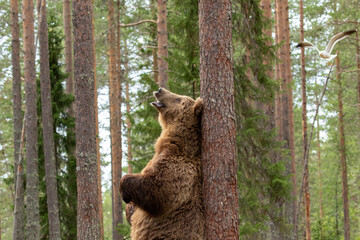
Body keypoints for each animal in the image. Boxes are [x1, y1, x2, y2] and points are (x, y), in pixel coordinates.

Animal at [120, 88, 204, 240]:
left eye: (178, 98)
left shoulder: (181, 172)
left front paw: (124, 190)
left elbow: (158, 188)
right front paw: (130, 209)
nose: (160, 90)